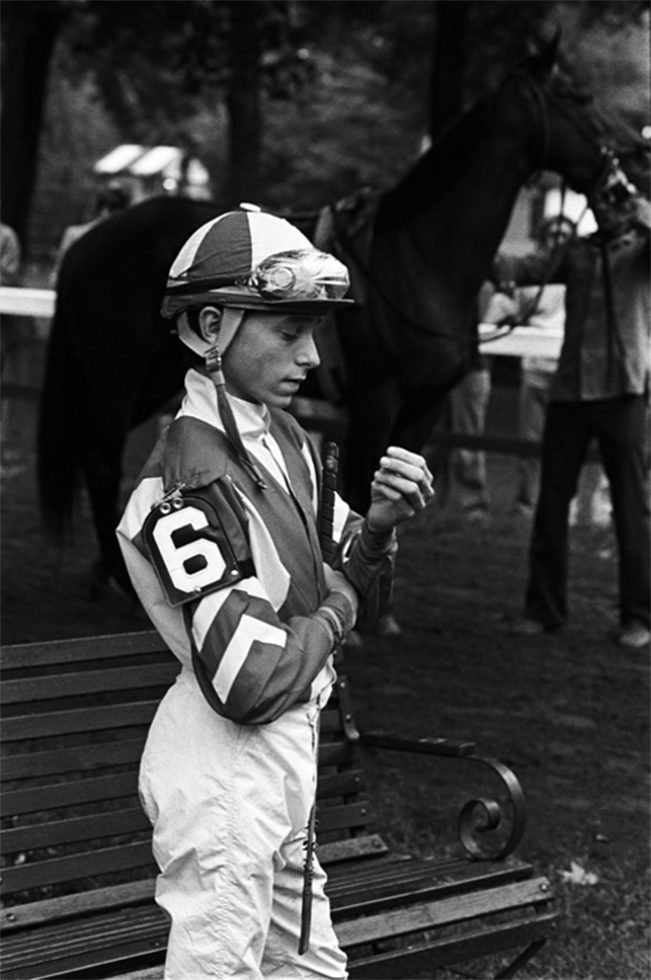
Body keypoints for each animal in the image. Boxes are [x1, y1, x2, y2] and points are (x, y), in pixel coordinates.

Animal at [40, 38, 620, 596]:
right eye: (579, 97)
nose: (627, 166)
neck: (414, 258)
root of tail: (86, 242)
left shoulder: (425, 404)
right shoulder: (376, 401)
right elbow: (358, 485)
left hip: (153, 378)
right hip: (118, 377)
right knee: (101, 458)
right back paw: (116, 575)